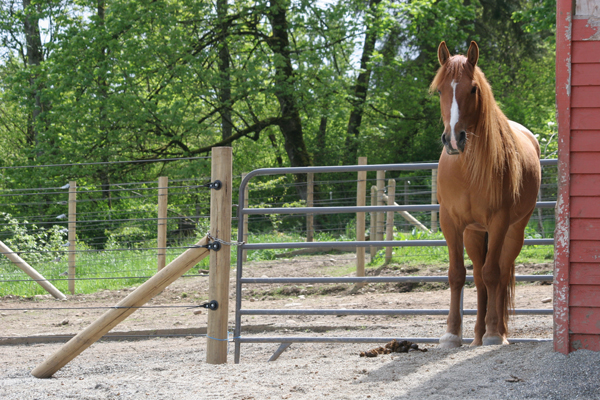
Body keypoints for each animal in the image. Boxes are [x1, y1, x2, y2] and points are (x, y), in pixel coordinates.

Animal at [428, 40, 540, 346]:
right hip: (474, 233)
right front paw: (452, 333)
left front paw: (493, 333)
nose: (454, 139)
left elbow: (493, 274)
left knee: (499, 274)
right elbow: (457, 274)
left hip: (514, 231)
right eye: (440, 90)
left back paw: (496, 332)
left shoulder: (499, 222)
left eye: (473, 89)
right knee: (478, 277)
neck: (466, 170)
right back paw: (477, 335)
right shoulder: (451, 223)